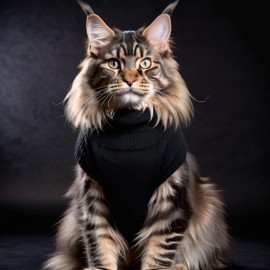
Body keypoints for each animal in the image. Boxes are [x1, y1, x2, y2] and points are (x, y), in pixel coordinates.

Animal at [42, 0, 230, 270]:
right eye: (113, 64)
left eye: (145, 63)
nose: (130, 79)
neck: (128, 129)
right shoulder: (93, 198)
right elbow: (100, 249)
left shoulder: (170, 202)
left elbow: (158, 254)